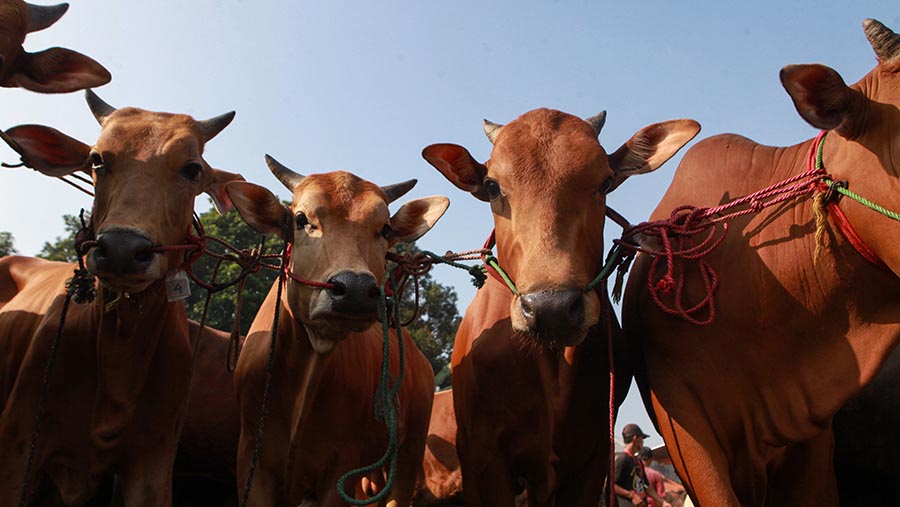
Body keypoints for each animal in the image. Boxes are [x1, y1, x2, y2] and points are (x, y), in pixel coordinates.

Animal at [227, 157, 448, 506]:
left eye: (385, 229)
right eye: (301, 219)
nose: (355, 289)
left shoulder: (341, 468)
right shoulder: (252, 458)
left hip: (410, 451)